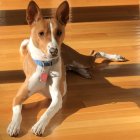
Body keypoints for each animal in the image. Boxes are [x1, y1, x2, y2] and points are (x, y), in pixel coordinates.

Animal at [6, 0, 127, 137]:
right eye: (41, 33)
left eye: (59, 32)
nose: (54, 51)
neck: (45, 66)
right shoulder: (18, 97)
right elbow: (17, 113)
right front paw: (14, 125)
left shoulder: (57, 97)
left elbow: (47, 112)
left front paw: (39, 125)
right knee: (75, 65)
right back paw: (84, 72)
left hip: (80, 60)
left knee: (96, 54)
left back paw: (116, 57)